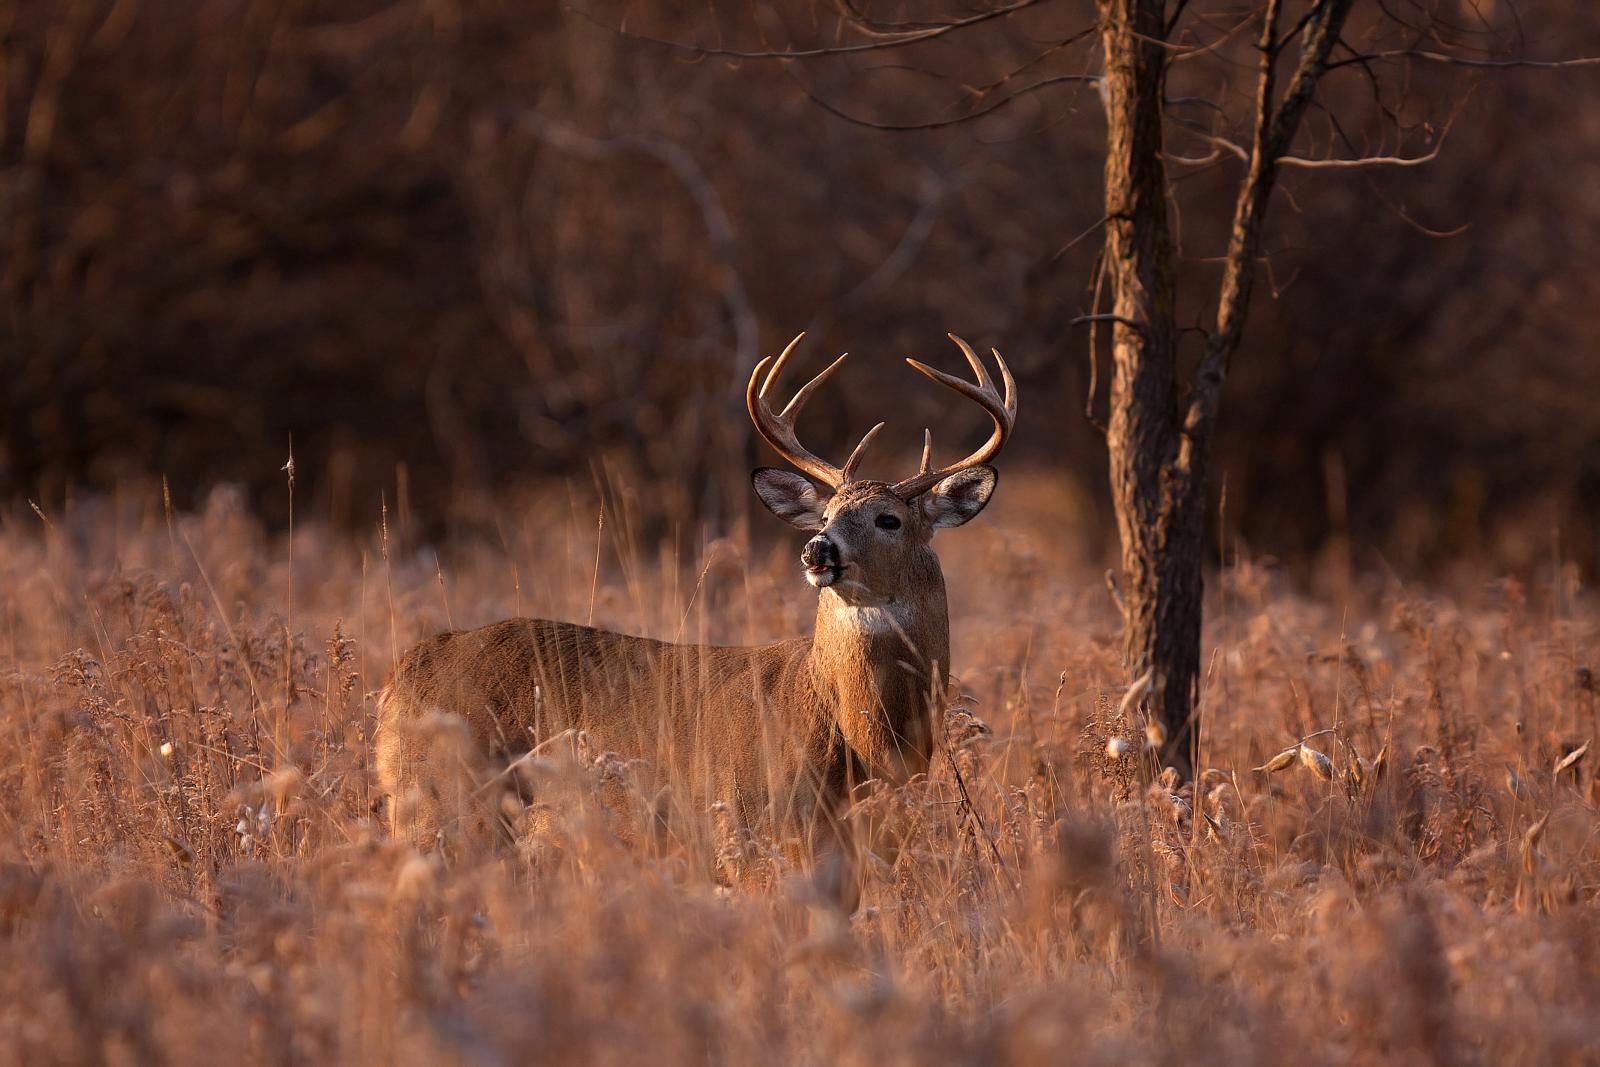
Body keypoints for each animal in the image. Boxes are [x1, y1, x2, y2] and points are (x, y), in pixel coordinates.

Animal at [374, 331, 1011, 895]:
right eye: (827, 513)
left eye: (890, 519)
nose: (817, 550)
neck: (855, 740)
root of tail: (400, 676)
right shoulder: (747, 831)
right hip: (445, 802)